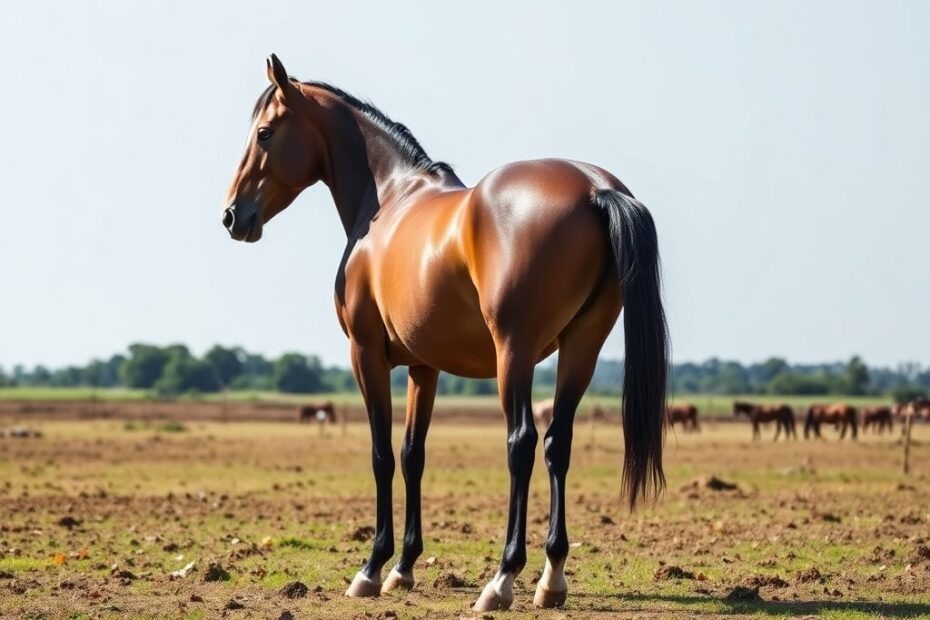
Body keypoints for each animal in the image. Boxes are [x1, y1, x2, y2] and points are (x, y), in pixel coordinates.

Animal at [222, 55, 669, 612]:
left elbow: (381, 454)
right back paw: (551, 579)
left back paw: (501, 580)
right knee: (556, 444)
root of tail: (593, 188)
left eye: (264, 133)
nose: (232, 215)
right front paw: (403, 568)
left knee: (521, 443)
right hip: (580, 350)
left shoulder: (365, 354)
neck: (388, 199)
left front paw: (371, 569)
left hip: (514, 353)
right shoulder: (424, 366)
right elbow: (413, 454)